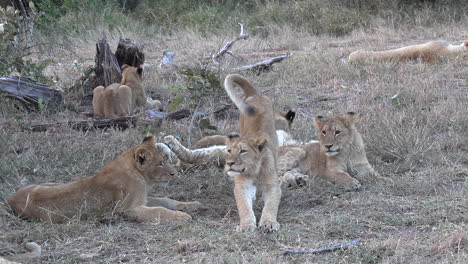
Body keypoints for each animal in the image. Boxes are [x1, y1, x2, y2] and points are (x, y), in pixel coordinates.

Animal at [7, 134, 201, 223]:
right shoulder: (128, 209)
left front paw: (192, 205)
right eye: (160, 163)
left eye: (165, 159)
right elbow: (159, 210)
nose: (174, 173)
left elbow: (166, 200)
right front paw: (182, 216)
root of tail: (10, 199)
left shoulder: (143, 199)